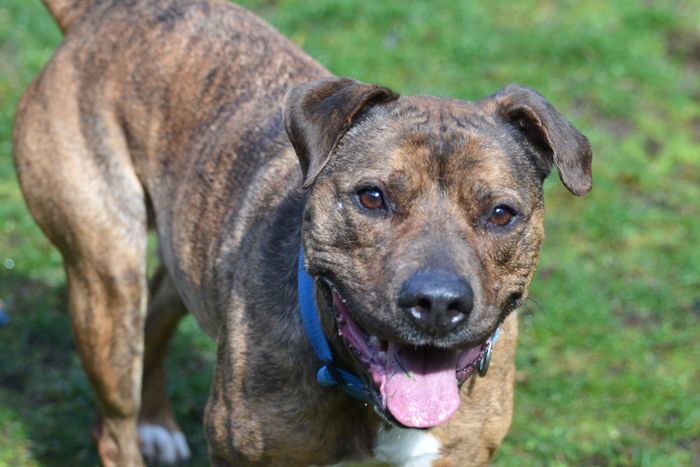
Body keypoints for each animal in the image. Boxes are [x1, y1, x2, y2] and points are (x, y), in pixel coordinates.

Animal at [12, 0, 592, 466]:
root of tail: (102, 12)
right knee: (115, 422)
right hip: (105, 276)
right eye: (372, 197)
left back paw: (154, 423)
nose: (437, 302)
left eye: (500, 213)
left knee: (156, 314)